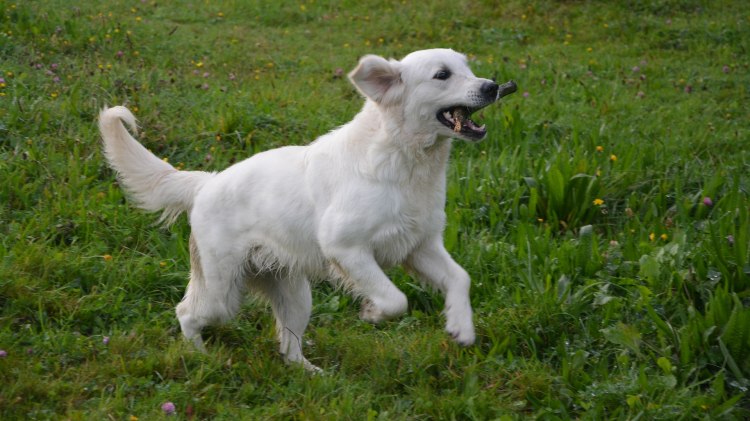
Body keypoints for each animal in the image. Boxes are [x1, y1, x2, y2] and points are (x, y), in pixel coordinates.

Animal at [100, 49, 516, 370]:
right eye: (442, 74)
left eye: (468, 67)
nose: (493, 86)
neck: (403, 162)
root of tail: (206, 182)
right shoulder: (346, 248)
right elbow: (395, 299)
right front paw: (372, 312)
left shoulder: (421, 246)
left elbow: (461, 278)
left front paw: (461, 327)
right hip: (222, 292)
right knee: (186, 313)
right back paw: (200, 356)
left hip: (295, 296)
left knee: (288, 346)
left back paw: (312, 373)